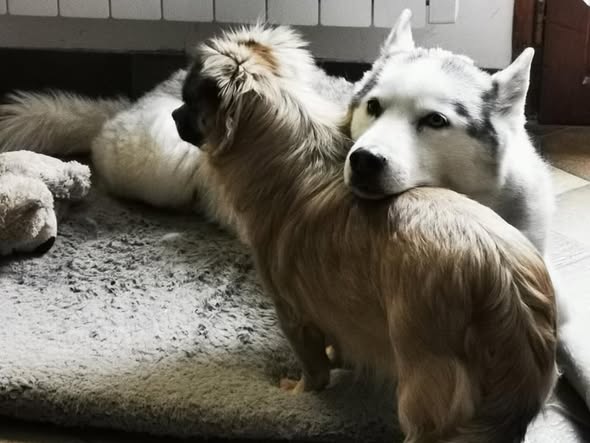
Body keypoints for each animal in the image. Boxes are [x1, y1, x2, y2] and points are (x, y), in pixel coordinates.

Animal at [172, 20, 557, 443]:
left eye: (188, 101)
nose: (172, 114)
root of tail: (511, 304)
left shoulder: (293, 313)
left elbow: (314, 370)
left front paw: (299, 391)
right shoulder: (335, 307)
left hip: (422, 393)